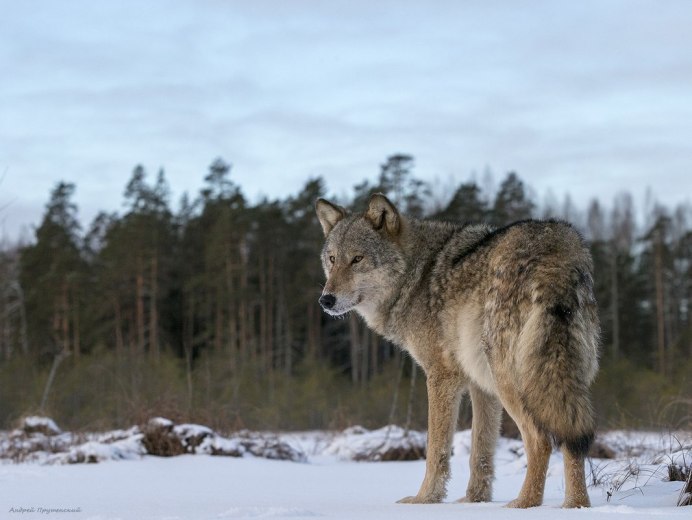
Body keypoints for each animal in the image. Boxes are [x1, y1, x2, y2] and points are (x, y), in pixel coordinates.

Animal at [315, 193, 599, 508]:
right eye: (332, 259)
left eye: (357, 259)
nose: (326, 300)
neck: (416, 277)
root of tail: (556, 250)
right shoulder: (480, 386)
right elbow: (481, 452)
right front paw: (475, 502)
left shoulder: (442, 377)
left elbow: (436, 450)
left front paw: (425, 499)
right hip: (558, 380)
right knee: (573, 440)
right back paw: (576, 505)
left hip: (513, 380)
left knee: (540, 440)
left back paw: (523, 504)